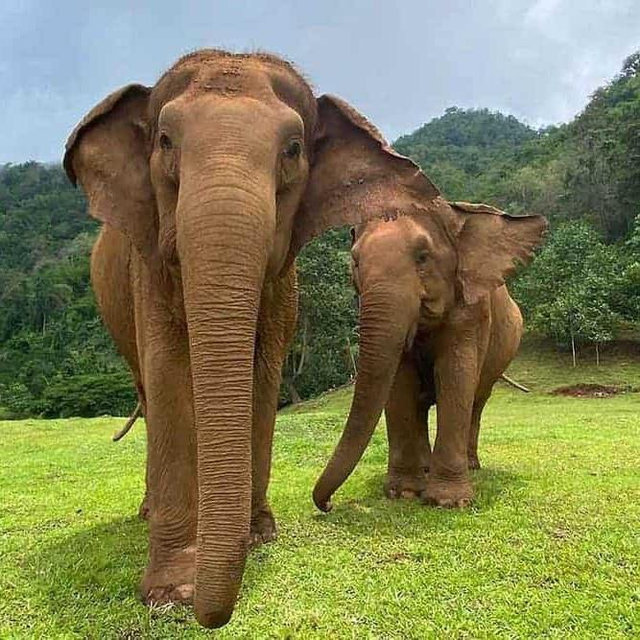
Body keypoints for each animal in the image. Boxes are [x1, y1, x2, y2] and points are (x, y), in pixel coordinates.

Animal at [63, 49, 440, 628]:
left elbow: (263, 380)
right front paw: (172, 591)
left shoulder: (284, 285)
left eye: (292, 150)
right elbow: (168, 374)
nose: (212, 614)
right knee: (149, 394)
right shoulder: (147, 268)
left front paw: (259, 536)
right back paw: (147, 512)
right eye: (165, 142)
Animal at [312, 200, 547, 513]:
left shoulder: (472, 309)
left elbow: (456, 375)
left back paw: (471, 466)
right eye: (356, 262)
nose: (328, 504)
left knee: (477, 401)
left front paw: (449, 502)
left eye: (423, 257)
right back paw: (425, 469)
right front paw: (404, 493)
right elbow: (399, 382)